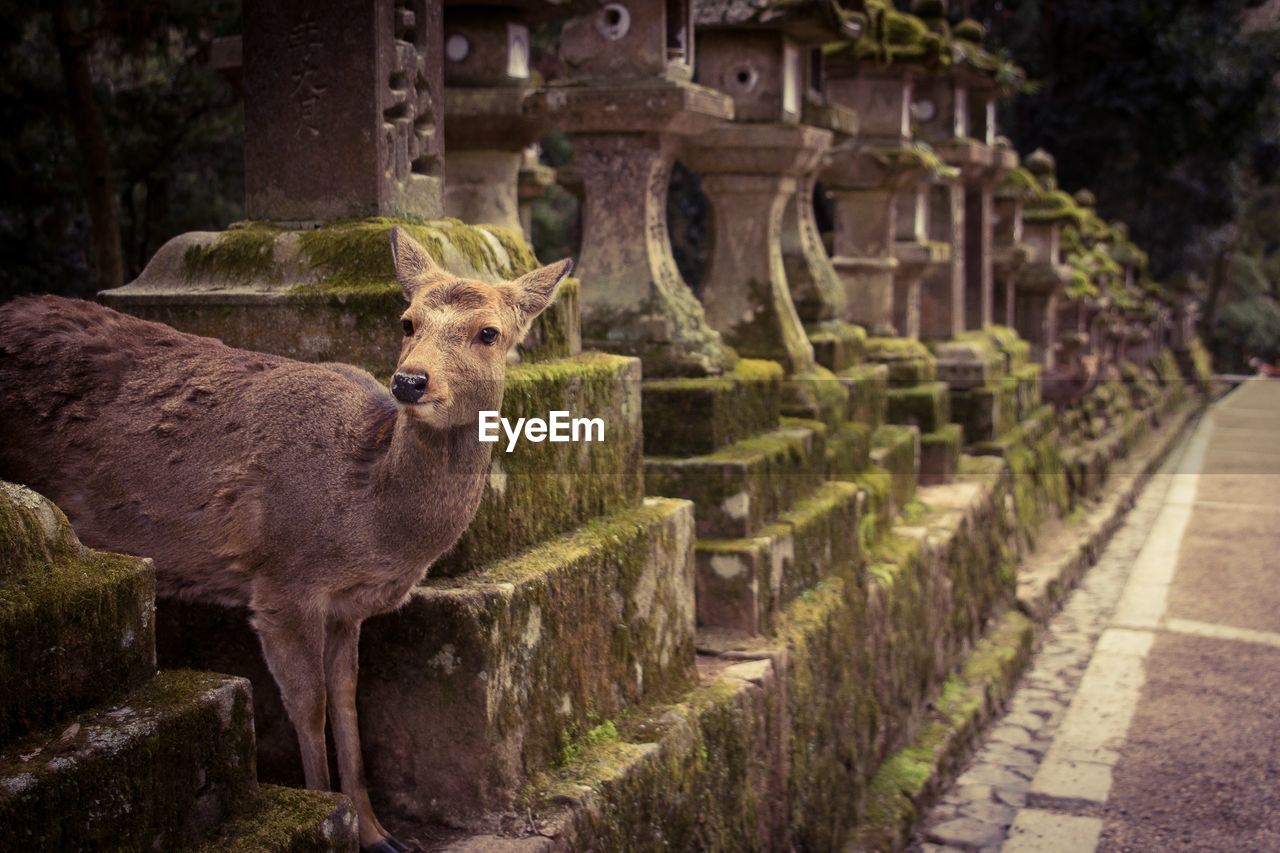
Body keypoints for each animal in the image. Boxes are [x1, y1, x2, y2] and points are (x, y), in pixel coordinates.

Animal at [0, 225, 570, 850]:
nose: (410, 381)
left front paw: (378, 833)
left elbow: (347, 702)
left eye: (489, 332)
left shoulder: (347, 607)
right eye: (407, 322)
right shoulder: (281, 583)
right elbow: (309, 706)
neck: (368, 520)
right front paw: (329, 816)